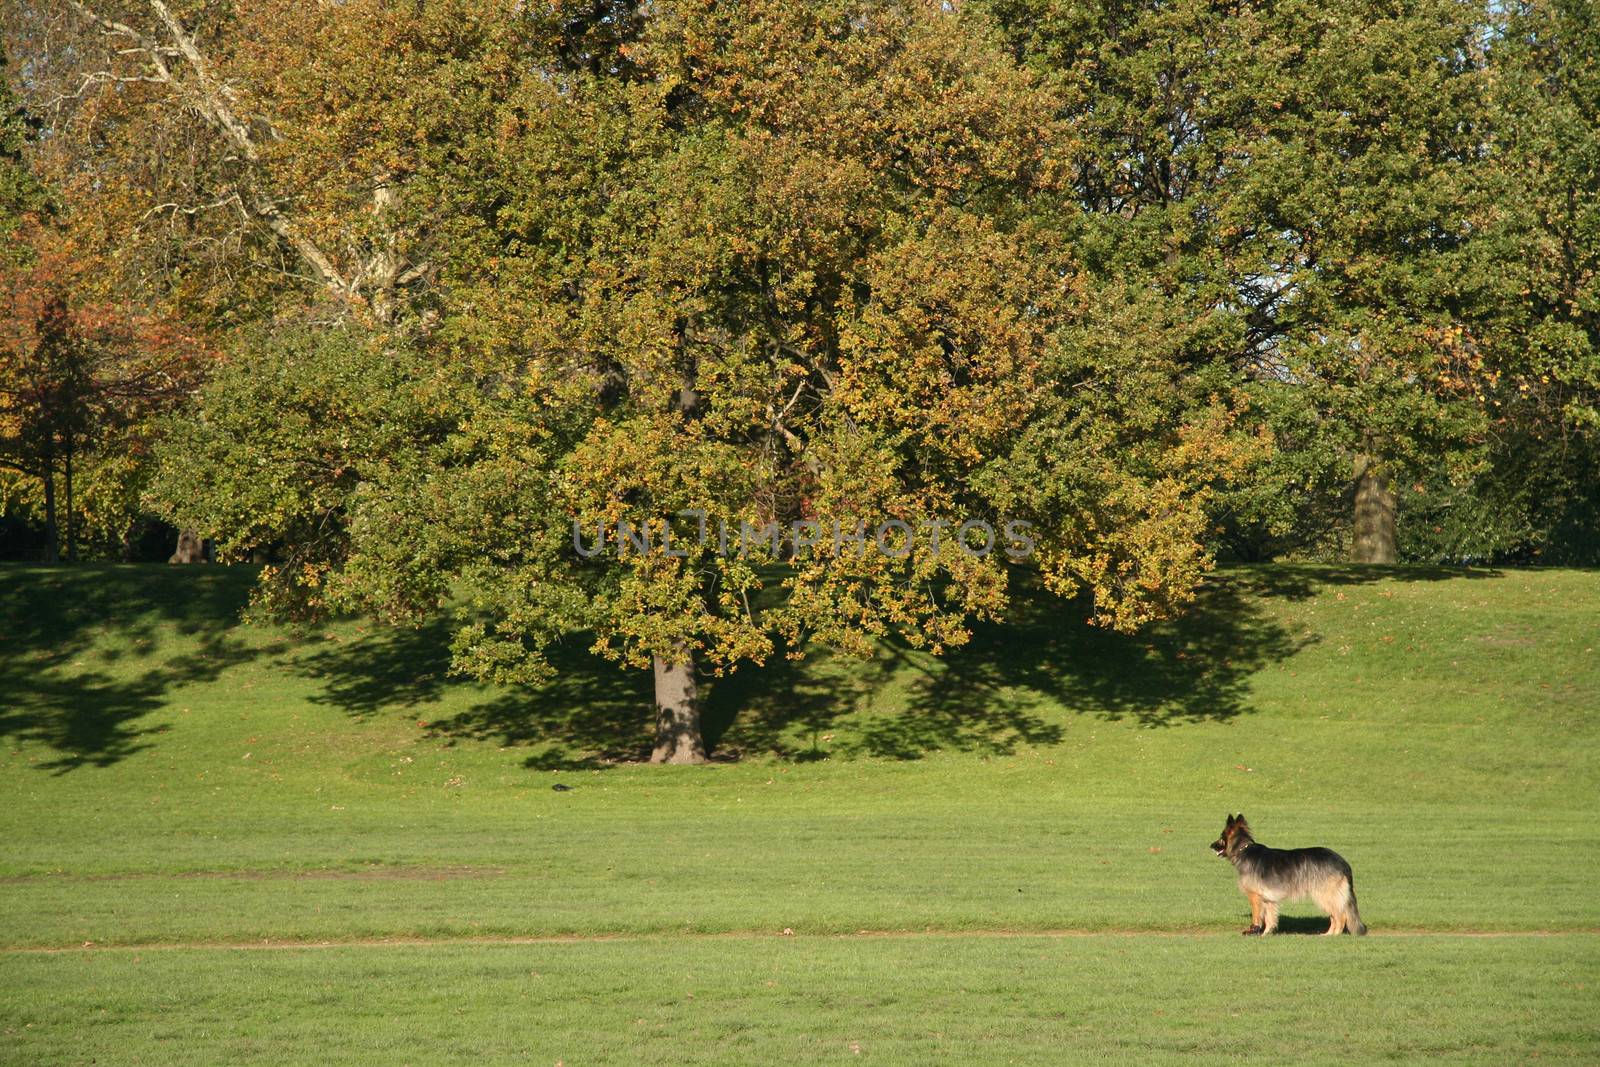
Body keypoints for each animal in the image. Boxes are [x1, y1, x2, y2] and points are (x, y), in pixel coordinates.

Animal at [1209, 819, 1363, 934]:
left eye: (1221, 838)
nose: (1210, 845)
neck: (1244, 849)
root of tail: (1342, 862)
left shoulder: (1254, 896)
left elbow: (1257, 917)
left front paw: (1254, 931)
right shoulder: (1268, 899)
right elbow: (1270, 919)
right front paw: (1266, 934)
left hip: (1324, 895)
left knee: (1341, 916)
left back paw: (1332, 936)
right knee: (1336, 916)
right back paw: (1327, 934)